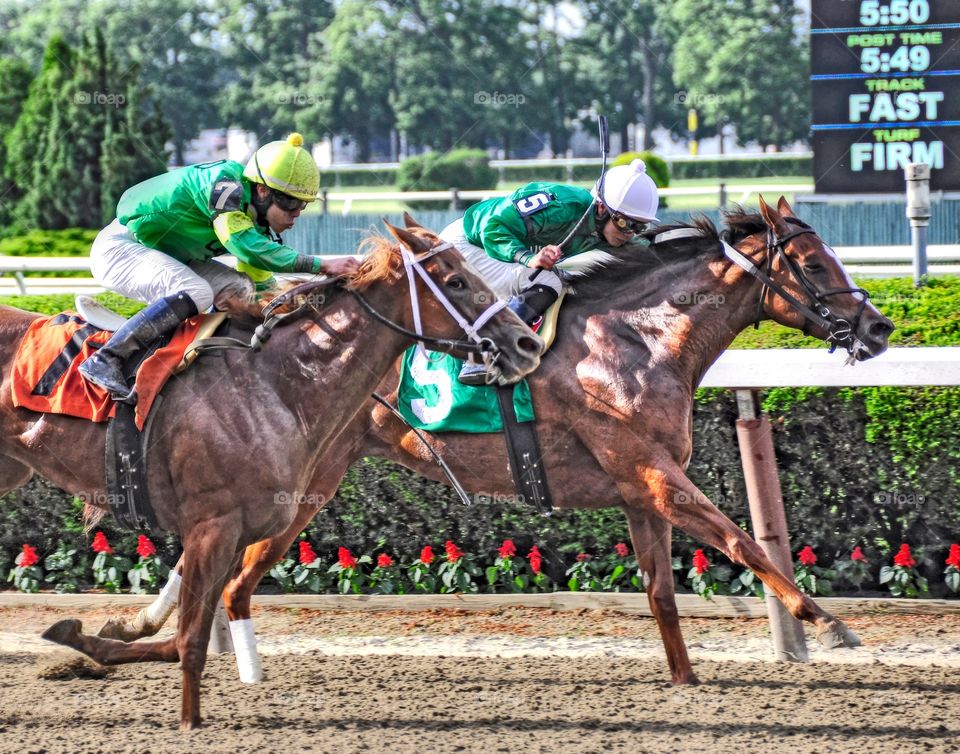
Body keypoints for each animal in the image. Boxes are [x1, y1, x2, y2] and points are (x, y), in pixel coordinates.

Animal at [0, 220, 540, 724]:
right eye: (455, 280)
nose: (526, 343)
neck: (277, 385)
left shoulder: (239, 530)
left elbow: (181, 638)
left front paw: (89, 637)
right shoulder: (213, 527)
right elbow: (189, 641)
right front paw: (189, 723)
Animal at [105, 195, 892, 688]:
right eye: (814, 265)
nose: (880, 327)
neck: (640, 340)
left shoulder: (641, 489)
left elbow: (662, 591)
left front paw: (685, 677)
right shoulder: (653, 473)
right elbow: (742, 542)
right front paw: (829, 625)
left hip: (309, 483)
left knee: (228, 577)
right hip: (304, 486)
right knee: (235, 578)